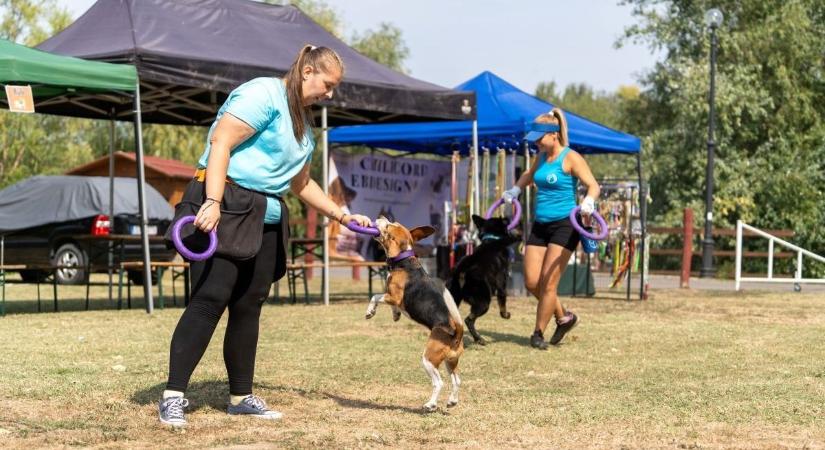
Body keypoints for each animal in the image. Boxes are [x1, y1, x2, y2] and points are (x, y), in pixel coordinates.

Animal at [366, 218, 464, 412]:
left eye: (387, 227)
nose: (381, 218)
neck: (405, 260)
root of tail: (456, 333)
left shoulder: (393, 296)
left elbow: (375, 296)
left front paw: (370, 311)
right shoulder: (393, 299)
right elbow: (392, 306)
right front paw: (395, 315)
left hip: (428, 359)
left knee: (439, 383)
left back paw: (430, 404)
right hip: (450, 361)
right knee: (456, 380)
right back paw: (452, 401)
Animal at [448, 214, 520, 344]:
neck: (492, 239)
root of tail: (462, 269)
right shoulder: (502, 283)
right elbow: (502, 302)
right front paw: (506, 314)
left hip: (454, 298)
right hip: (484, 302)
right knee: (468, 320)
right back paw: (479, 339)